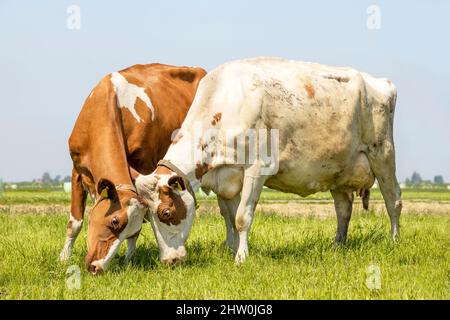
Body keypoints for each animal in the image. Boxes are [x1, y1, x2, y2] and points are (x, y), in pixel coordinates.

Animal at [59, 63, 206, 272]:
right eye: (115, 221)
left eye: (130, 228)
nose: (98, 267)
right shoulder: (77, 169)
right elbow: (75, 223)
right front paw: (64, 258)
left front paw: (129, 261)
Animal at [135, 57, 402, 264]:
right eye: (146, 218)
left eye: (166, 212)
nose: (168, 261)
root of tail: (382, 83)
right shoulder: (227, 176)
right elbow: (230, 216)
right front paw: (233, 249)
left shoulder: (257, 168)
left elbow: (242, 217)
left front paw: (241, 258)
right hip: (338, 169)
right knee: (343, 209)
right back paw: (338, 245)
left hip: (383, 154)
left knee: (394, 201)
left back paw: (394, 241)